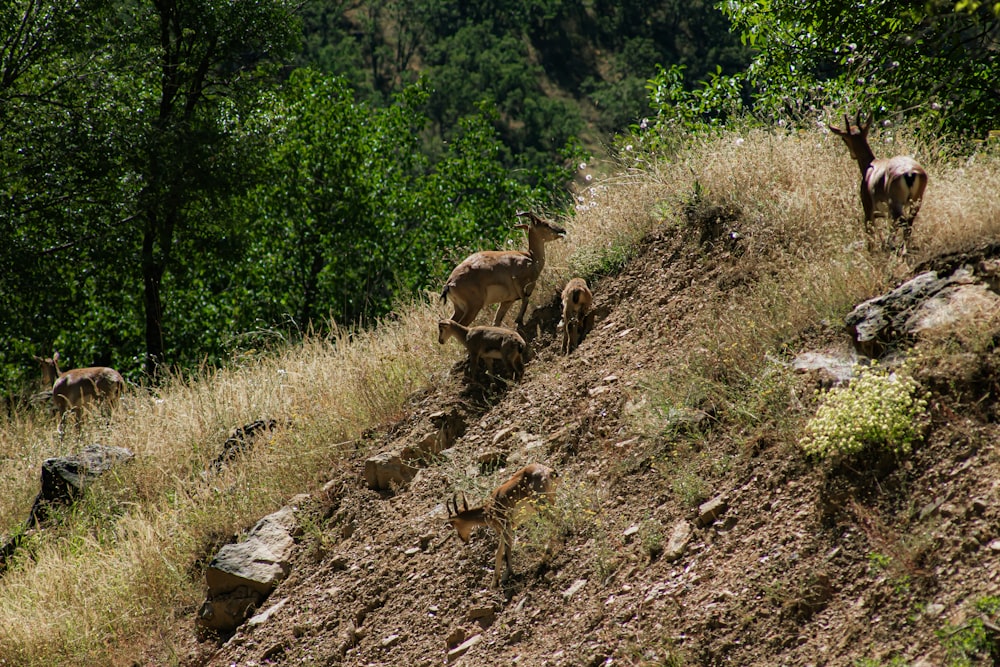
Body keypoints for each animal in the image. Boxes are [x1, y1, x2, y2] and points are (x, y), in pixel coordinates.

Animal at [828, 112, 928, 253]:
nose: (853, 155)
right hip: (916, 203)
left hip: (896, 205)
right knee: (908, 225)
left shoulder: (868, 210)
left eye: (844, 138)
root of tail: (910, 173)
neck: (870, 166)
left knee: (904, 224)